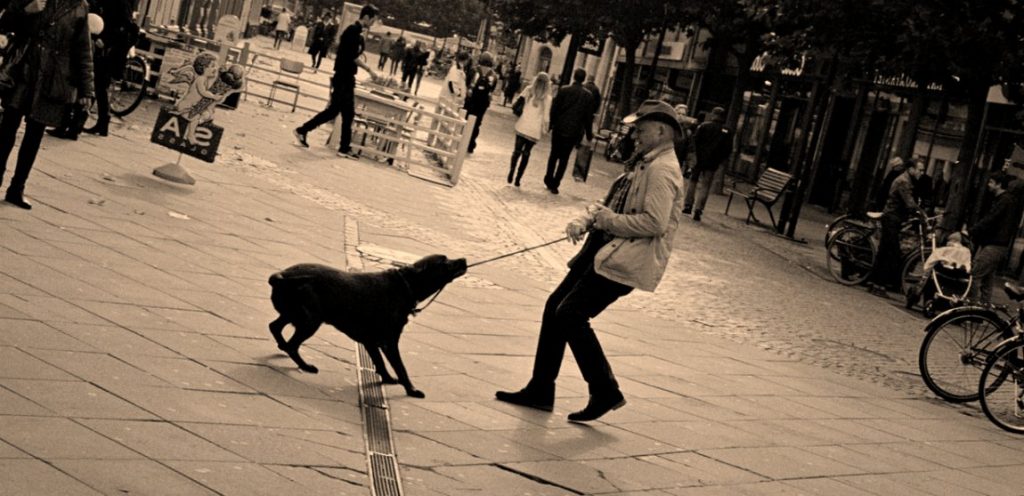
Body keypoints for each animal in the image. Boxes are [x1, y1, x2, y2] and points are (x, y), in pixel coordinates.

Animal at [268, 256, 468, 399]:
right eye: (445, 262)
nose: (464, 259)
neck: (405, 285)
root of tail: (281, 276)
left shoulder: (370, 341)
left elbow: (379, 362)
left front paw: (387, 379)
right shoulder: (389, 342)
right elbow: (401, 368)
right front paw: (411, 390)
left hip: (293, 315)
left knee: (275, 327)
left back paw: (283, 347)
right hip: (310, 321)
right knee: (292, 345)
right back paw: (304, 365)